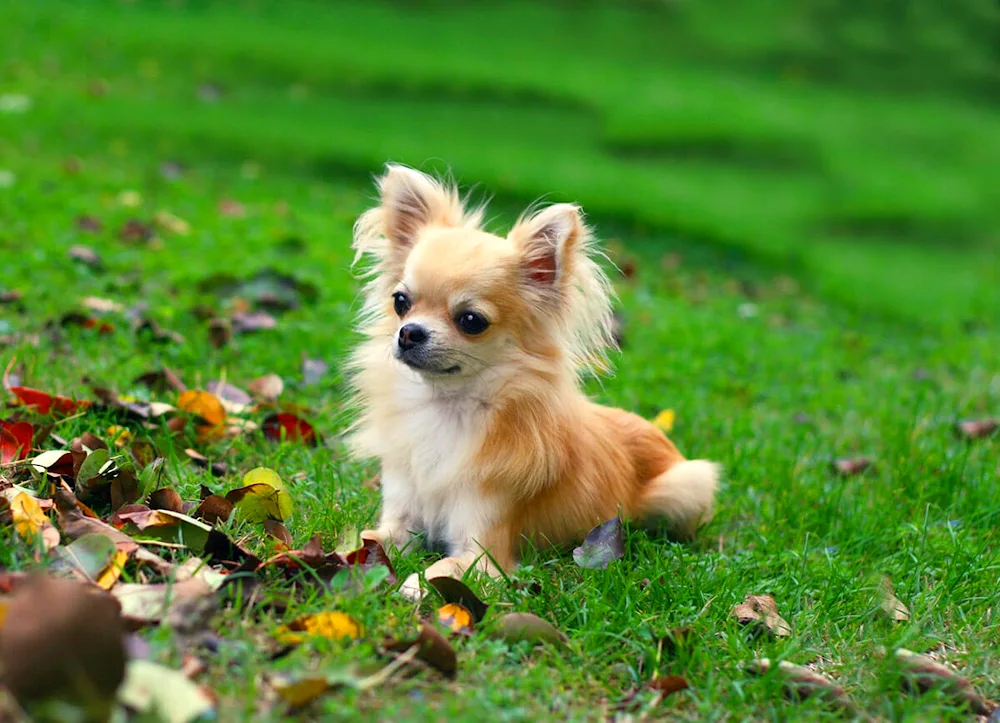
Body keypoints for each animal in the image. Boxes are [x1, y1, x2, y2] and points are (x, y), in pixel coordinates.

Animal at [346, 165, 720, 600]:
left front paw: (416, 584)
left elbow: (442, 569)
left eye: (471, 320)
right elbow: (366, 540)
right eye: (400, 302)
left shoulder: (483, 552)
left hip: (686, 486)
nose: (408, 332)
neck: (448, 409)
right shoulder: (400, 517)